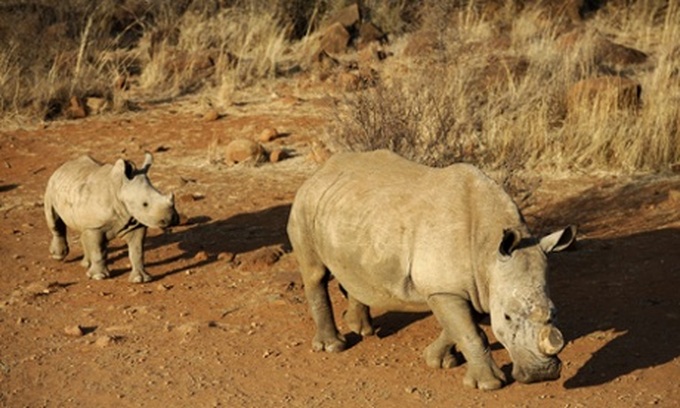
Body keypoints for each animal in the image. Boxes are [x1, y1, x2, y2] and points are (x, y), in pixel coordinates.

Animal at [44, 153, 179, 283]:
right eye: (145, 204)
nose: (171, 219)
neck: (120, 189)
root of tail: (63, 166)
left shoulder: (135, 222)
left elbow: (137, 251)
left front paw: (140, 279)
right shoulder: (96, 225)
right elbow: (98, 251)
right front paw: (98, 277)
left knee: (83, 229)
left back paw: (86, 265)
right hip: (51, 186)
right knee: (54, 221)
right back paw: (59, 256)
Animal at [287, 150, 576, 390]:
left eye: (555, 312)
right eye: (506, 317)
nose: (542, 375)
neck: (488, 248)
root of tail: (320, 171)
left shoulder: (469, 286)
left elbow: (461, 326)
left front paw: (438, 361)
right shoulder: (446, 289)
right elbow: (470, 332)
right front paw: (488, 385)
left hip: (351, 213)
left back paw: (362, 330)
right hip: (305, 204)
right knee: (315, 274)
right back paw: (333, 346)